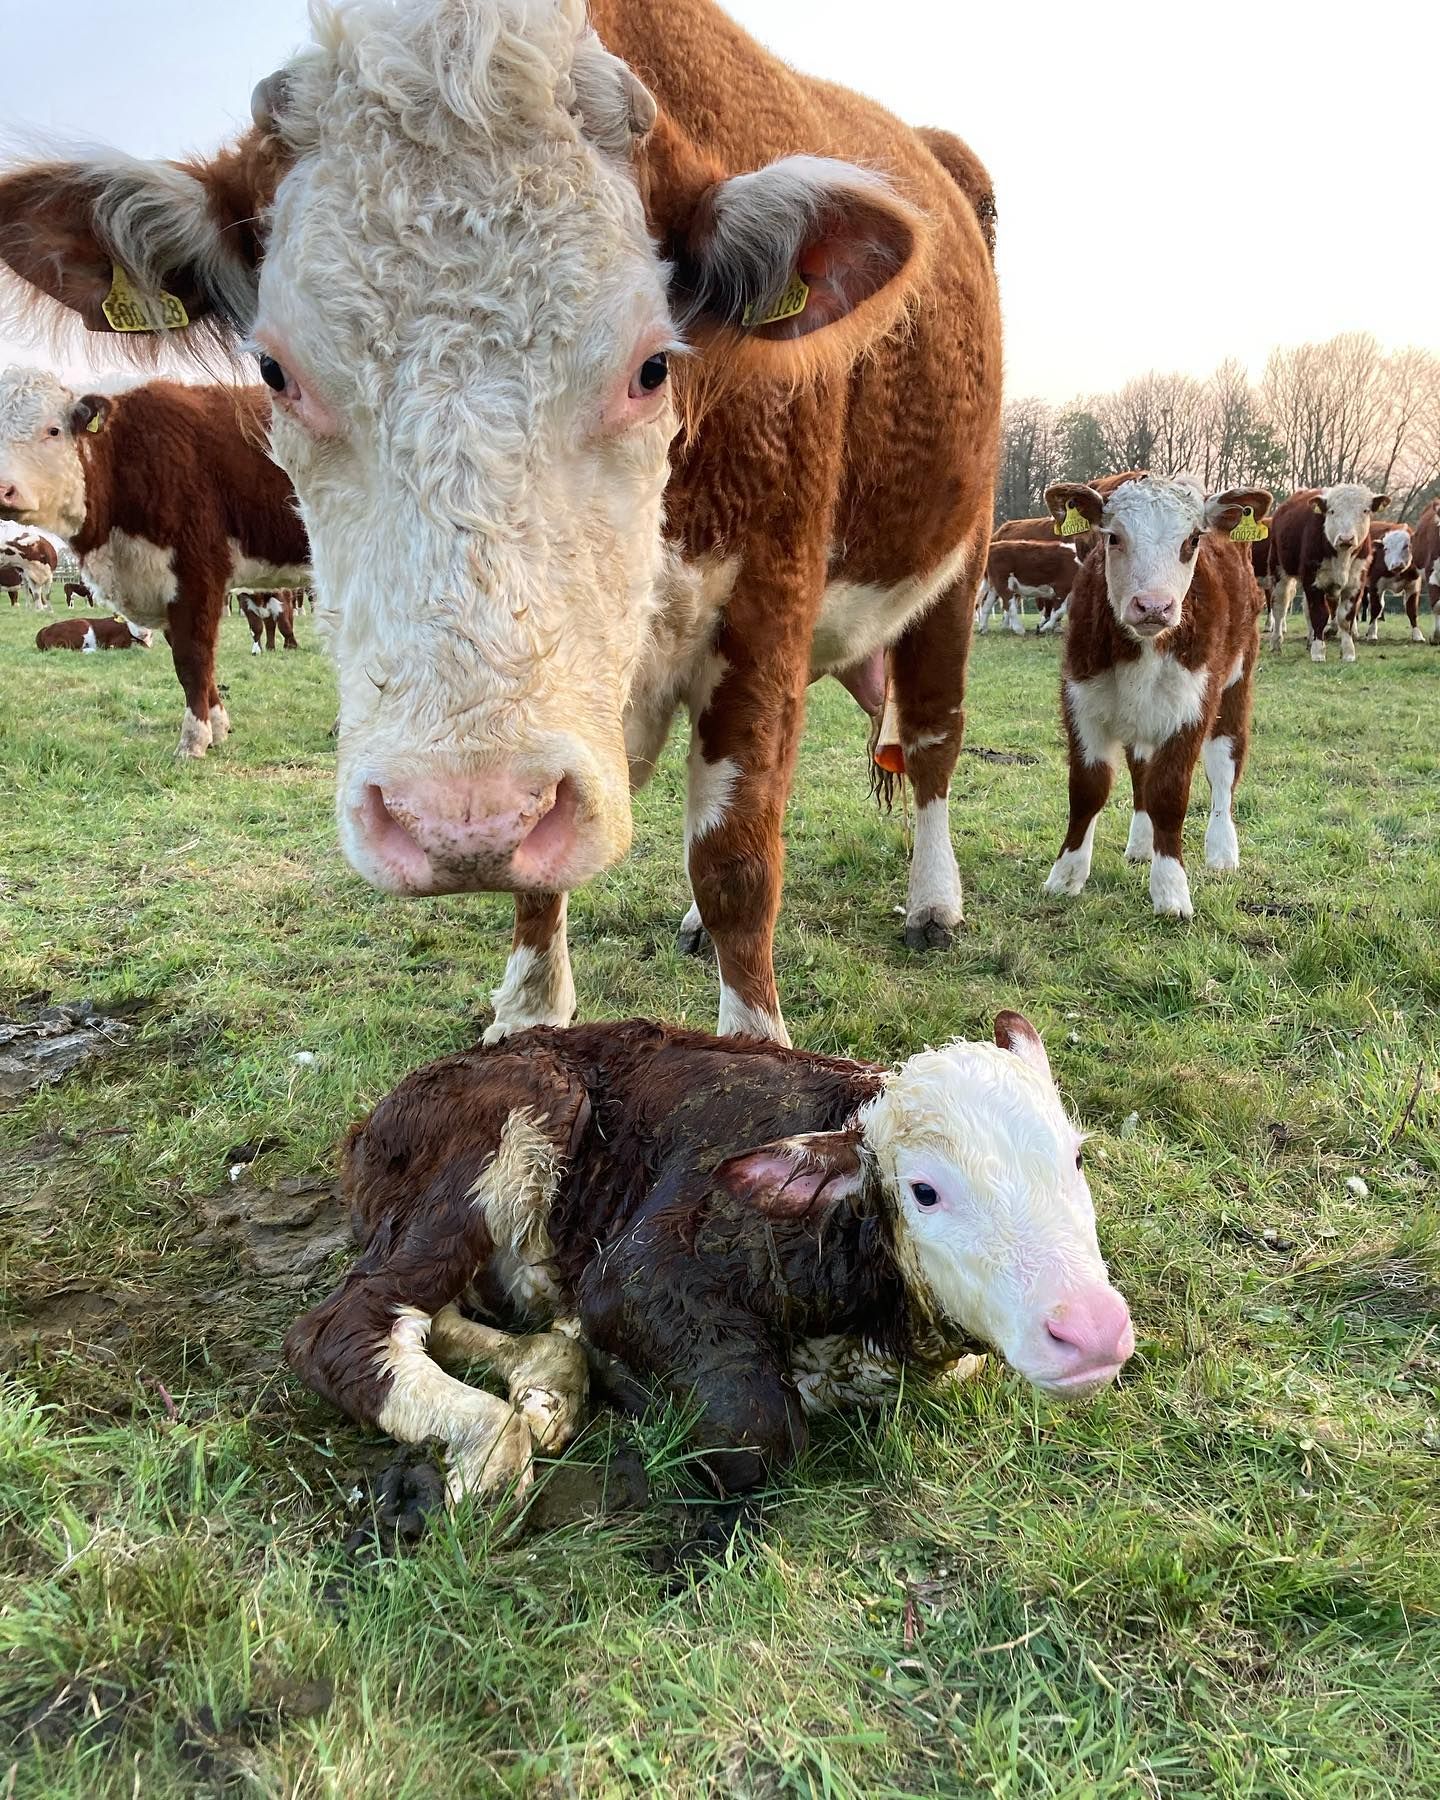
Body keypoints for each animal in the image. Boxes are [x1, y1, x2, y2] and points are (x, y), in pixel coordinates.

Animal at [0, 370, 311, 756]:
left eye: (53, 430)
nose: (3, 489)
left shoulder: (196, 575)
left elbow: (193, 658)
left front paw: (193, 740)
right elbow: (189, 658)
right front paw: (218, 728)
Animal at [285, 1014, 1134, 1503]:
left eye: (1076, 1159)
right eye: (925, 1191)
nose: (1091, 1330)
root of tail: (369, 1124)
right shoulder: (633, 1272)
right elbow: (759, 1432)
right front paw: (633, 1387)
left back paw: (547, 1380)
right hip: (514, 1113)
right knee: (344, 1323)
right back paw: (489, 1441)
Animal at [1039, 475, 1271, 920]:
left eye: (1192, 539)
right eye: (1113, 537)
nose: (1153, 606)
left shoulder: (1191, 708)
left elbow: (1169, 793)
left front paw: (1170, 890)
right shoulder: (1081, 701)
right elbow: (1089, 788)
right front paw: (1066, 875)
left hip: (1236, 684)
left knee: (1224, 764)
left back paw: (1222, 849)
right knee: (1140, 767)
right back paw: (1142, 844)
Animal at [1266, 484, 1388, 662]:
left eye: (1365, 510)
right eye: (1331, 511)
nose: (1346, 538)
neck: (1342, 557)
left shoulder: (1355, 584)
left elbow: (1345, 617)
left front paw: (1348, 652)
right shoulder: (1313, 581)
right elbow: (1319, 614)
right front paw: (1318, 652)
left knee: (1305, 609)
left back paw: (1309, 641)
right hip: (1279, 568)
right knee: (1280, 607)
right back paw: (1276, 643)